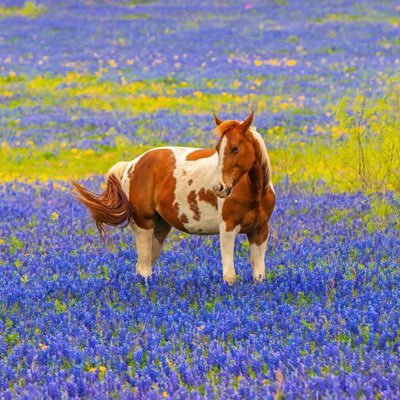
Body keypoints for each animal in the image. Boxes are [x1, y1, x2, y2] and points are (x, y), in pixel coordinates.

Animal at [72, 111, 276, 282]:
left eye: (235, 148)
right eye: (218, 149)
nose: (218, 187)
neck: (255, 192)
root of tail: (132, 163)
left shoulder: (260, 231)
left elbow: (259, 276)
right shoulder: (227, 228)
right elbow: (230, 276)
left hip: (160, 227)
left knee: (144, 265)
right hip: (143, 224)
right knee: (144, 268)